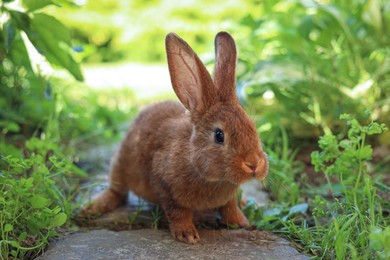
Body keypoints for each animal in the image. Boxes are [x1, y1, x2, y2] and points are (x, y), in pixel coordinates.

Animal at [83, 32, 268, 244]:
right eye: (219, 135)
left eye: (253, 127)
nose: (254, 164)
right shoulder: (165, 186)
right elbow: (178, 212)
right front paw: (187, 235)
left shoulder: (228, 198)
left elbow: (230, 208)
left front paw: (242, 222)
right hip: (121, 164)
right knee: (118, 191)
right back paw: (92, 207)